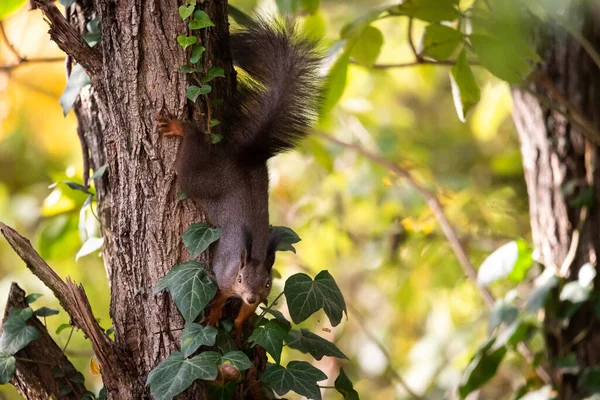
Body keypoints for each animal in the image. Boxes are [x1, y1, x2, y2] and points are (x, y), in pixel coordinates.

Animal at [156, 18, 324, 340]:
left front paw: (238, 329)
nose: (251, 295)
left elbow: (246, 314)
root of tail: (243, 160)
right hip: (201, 180)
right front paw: (213, 317)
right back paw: (181, 128)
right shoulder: (222, 277)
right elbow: (219, 298)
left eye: (268, 284)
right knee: (189, 161)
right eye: (240, 277)